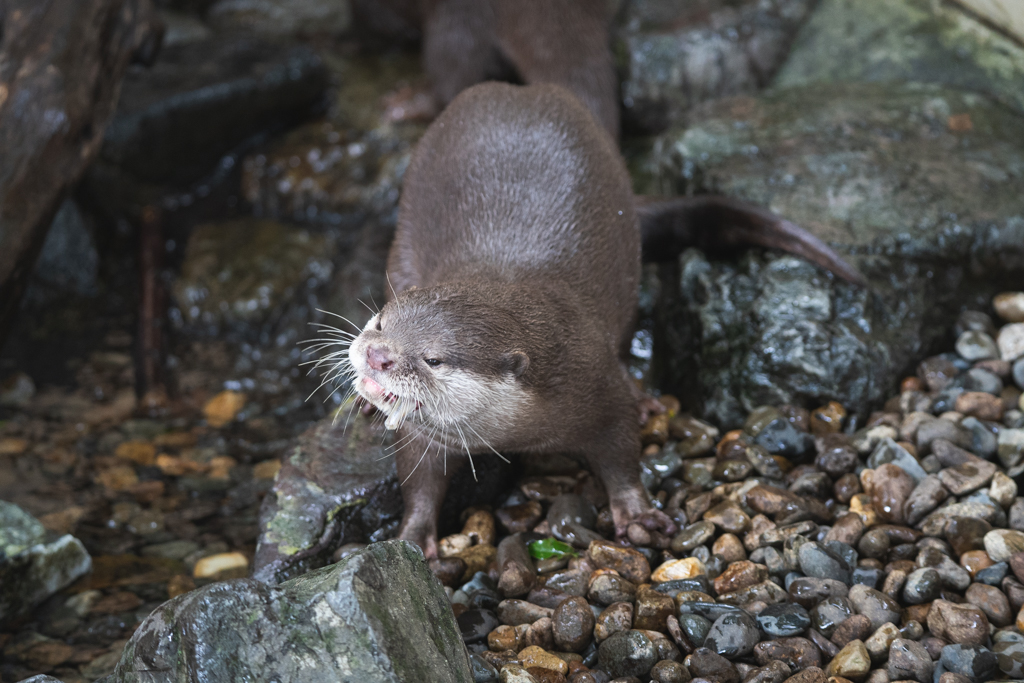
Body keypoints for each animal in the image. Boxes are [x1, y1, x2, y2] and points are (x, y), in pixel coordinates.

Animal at [344, 82, 864, 557]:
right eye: (380, 321)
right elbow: (419, 477)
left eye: (432, 359)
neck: (519, 428)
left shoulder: (595, 380)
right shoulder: (425, 433)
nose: (377, 354)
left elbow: (621, 450)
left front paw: (635, 514)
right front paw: (413, 537)